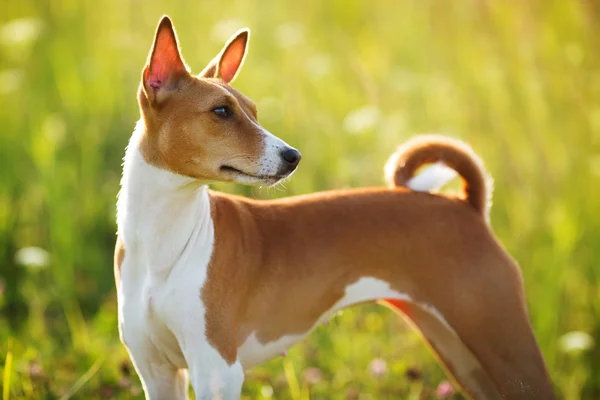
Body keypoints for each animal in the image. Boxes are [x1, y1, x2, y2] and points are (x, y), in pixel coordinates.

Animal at [115, 16, 556, 400]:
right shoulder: (157, 373)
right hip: (462, 355)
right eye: (221, 111)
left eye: (254, 111)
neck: (162, 246)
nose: (293, 156)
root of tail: (467, 206)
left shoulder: (216, 372)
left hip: (502, 344)